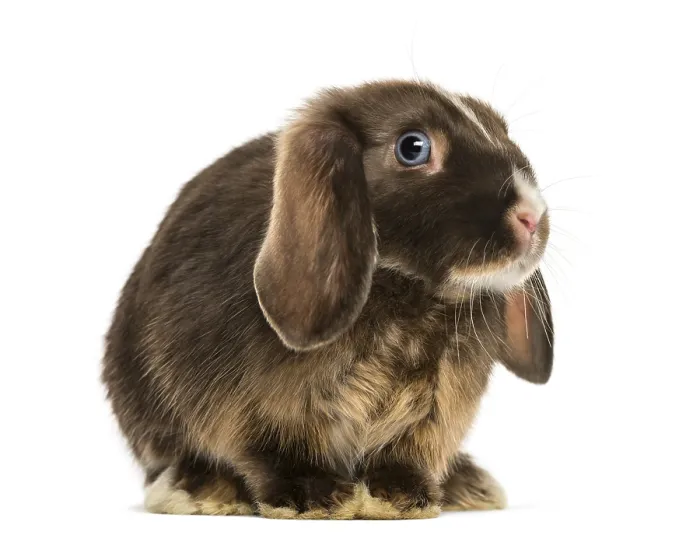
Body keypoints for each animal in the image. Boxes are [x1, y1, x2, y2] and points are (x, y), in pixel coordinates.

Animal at [102, 79, 554, 519]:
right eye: (413, 147)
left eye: (501, 130)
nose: (531, 216)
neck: (409, 297)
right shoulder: (249, 409)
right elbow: (271, 453)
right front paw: (314, 498)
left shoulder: (436, 410)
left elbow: (406, 455)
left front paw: (402, 498)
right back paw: (197, 490)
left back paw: (467, 484)